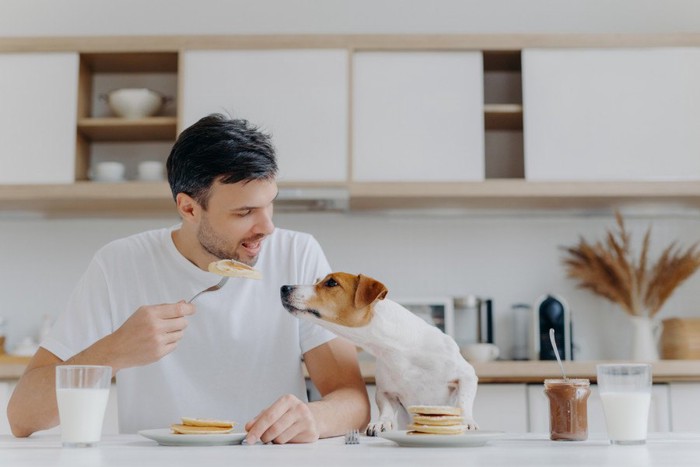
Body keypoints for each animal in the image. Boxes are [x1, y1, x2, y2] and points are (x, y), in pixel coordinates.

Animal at [282, 272, 478, 436]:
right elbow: (386, 409)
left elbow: (463, 401)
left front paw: (468, 421)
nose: (284, 287)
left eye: (331, 282)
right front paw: (381, 423)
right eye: (317, 281)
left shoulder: (467, 376)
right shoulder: (386, 392)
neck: (397, 350)